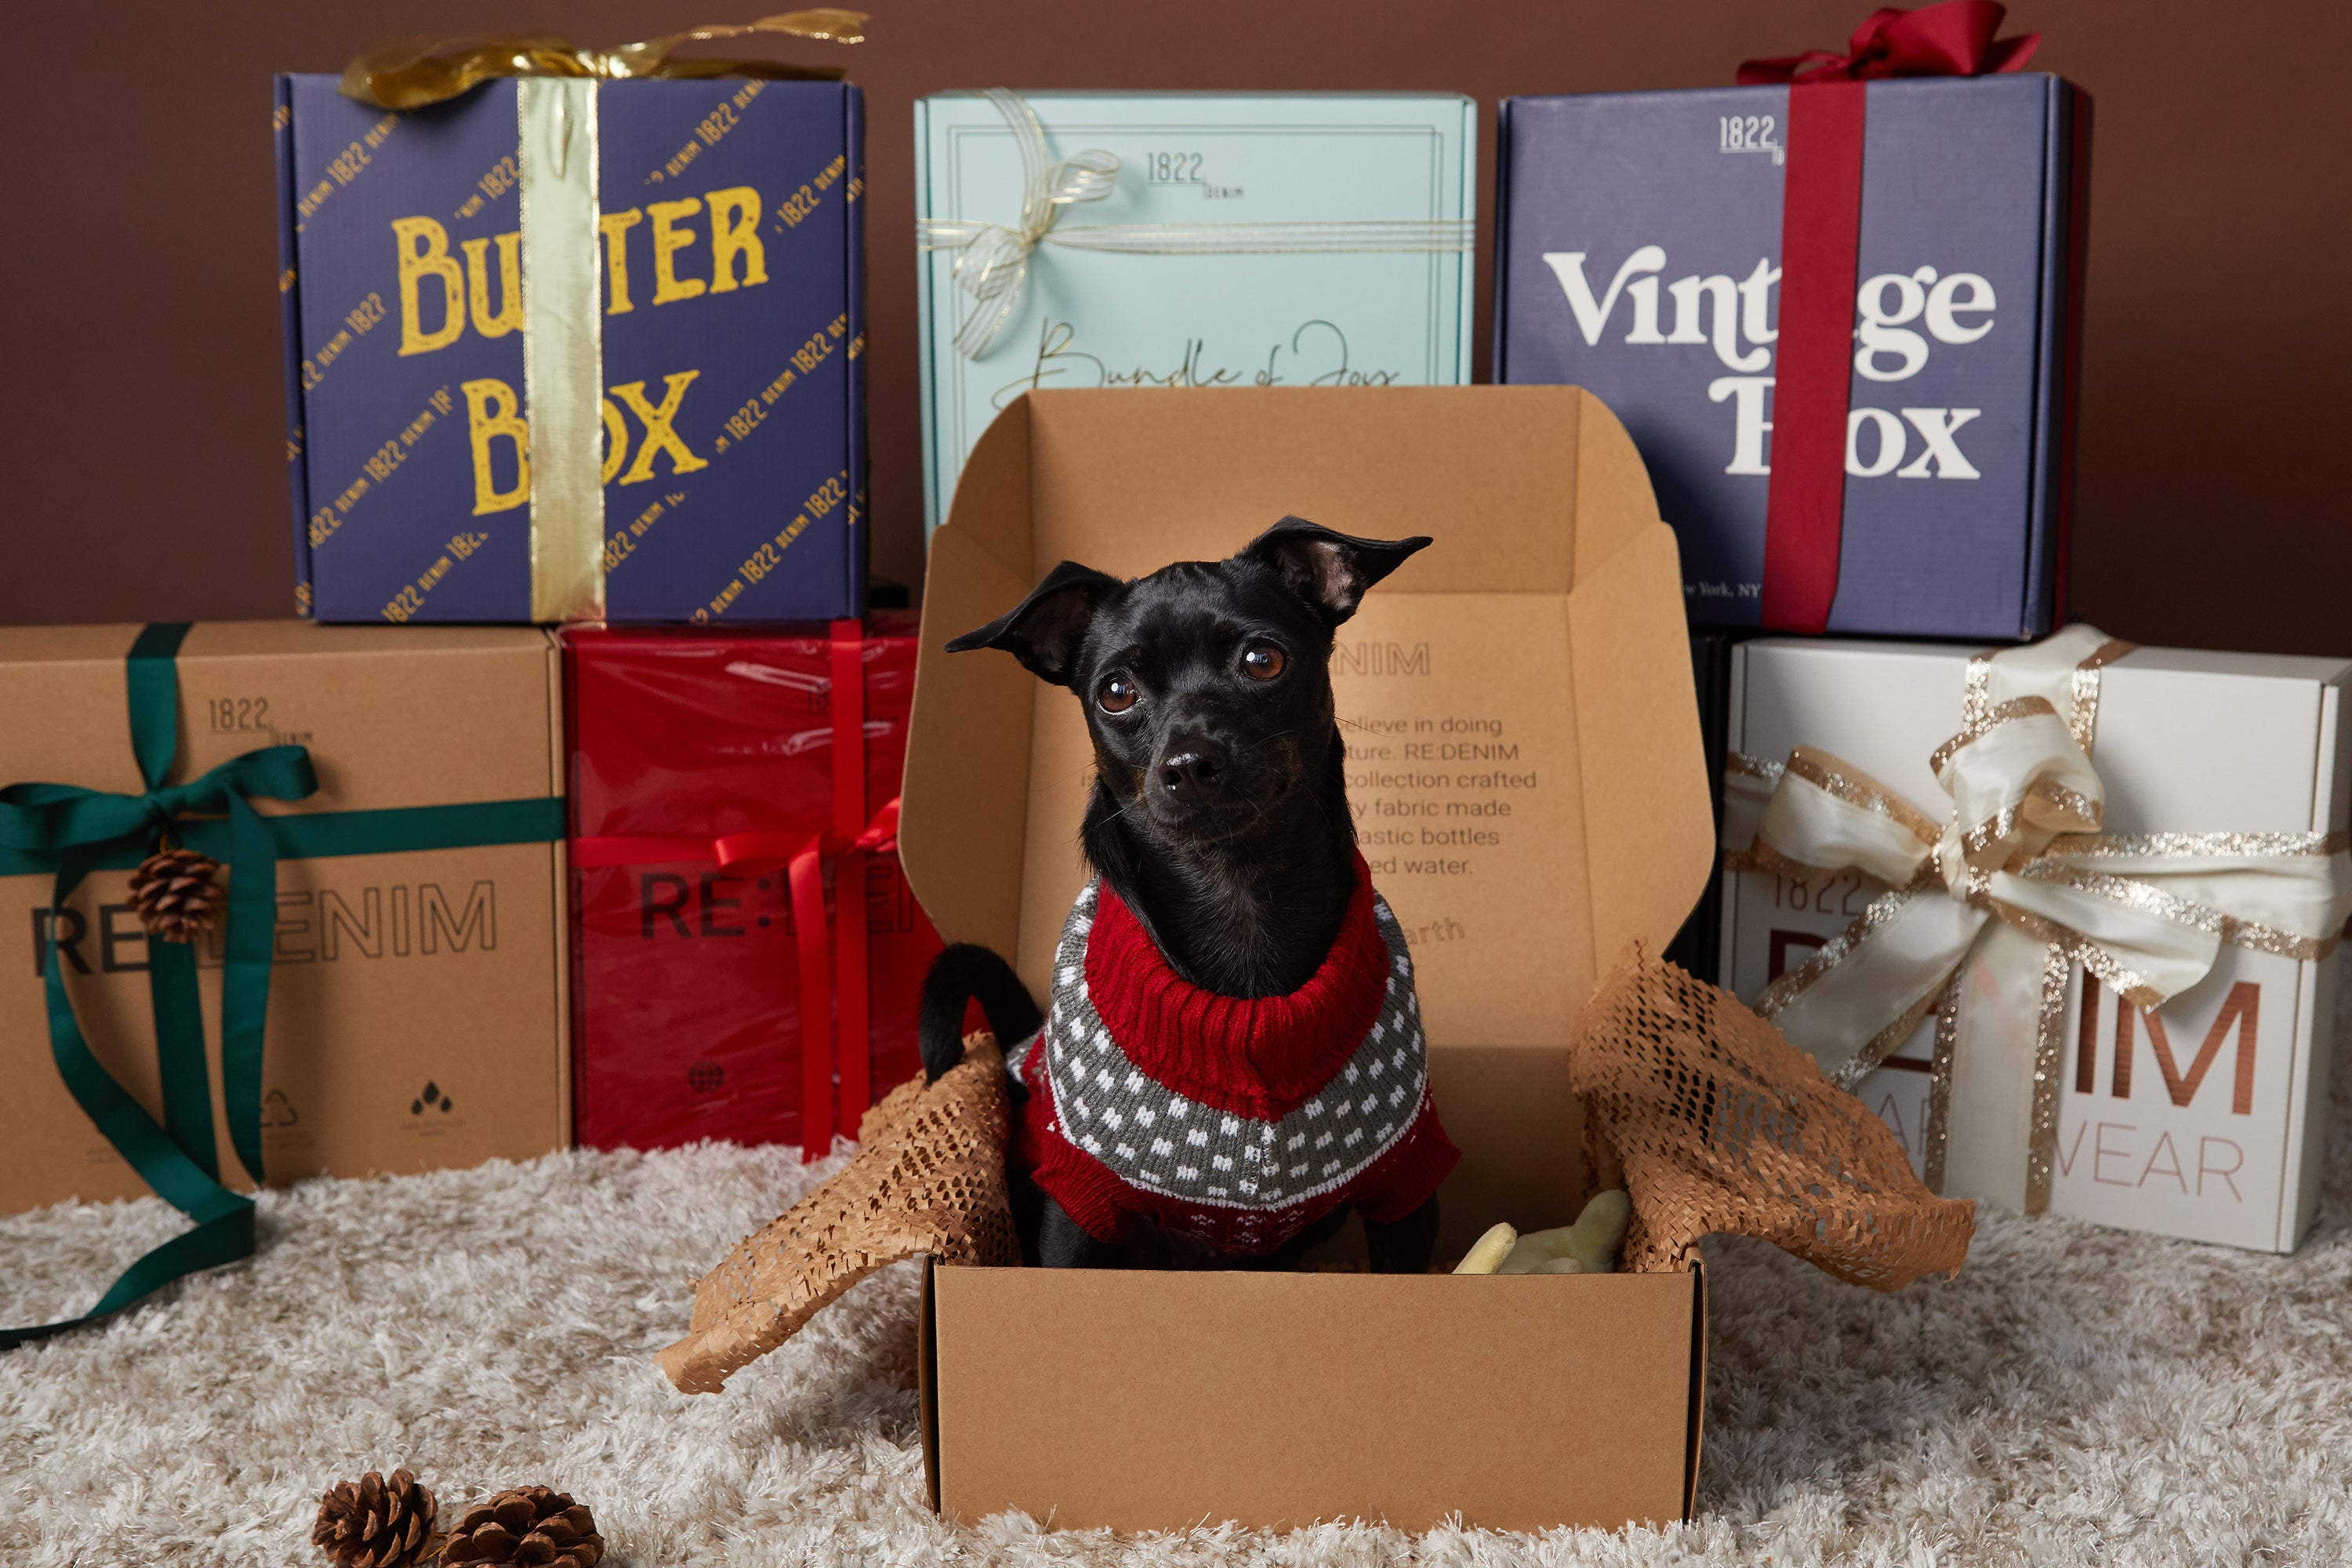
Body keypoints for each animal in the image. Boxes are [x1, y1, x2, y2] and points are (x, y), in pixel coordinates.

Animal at [922, 514, 1439, 1279]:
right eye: (1115, 691)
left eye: (1263, 661)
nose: (1191, 763)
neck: (1237, 894)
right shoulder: (1077, 1210)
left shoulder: (1408, 1189)